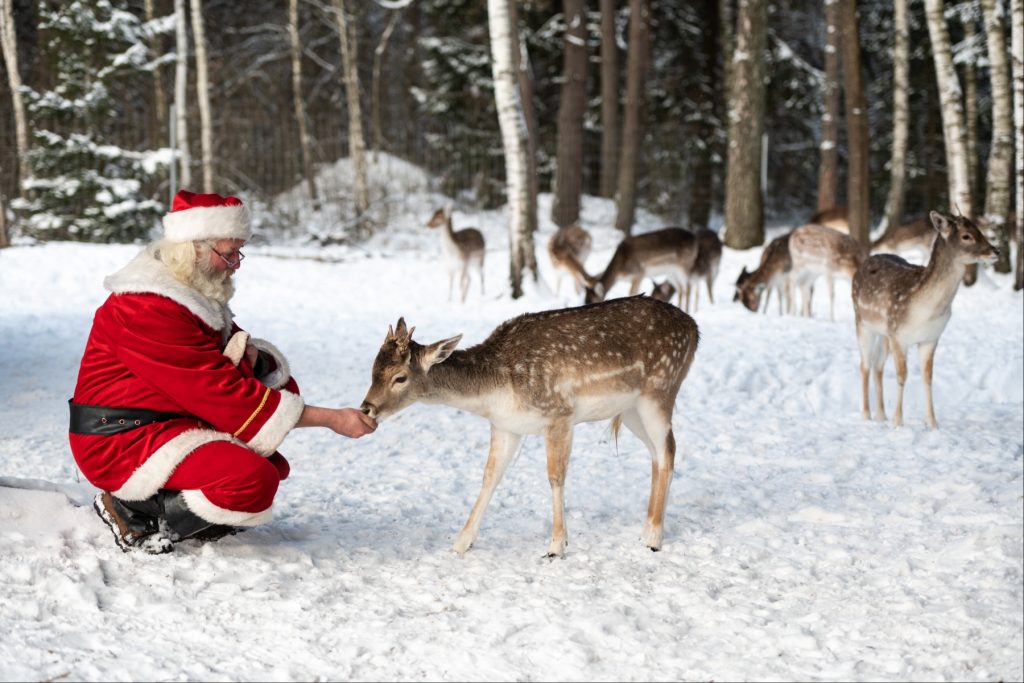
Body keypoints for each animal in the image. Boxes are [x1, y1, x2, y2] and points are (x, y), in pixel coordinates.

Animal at [356, 296, 700, 557]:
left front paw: (556, 546)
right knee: (656, 454)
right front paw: (461, 543)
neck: (495, 390)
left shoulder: (559, 413)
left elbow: (555, 478)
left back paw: (654, 538)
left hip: (659, 390)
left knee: (668, 450)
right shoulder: (506, 425)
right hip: (630, 410)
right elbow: (490, 477)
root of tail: (695, 329)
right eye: (372, 369)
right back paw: (645, 530)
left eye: (400, 377)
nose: (366, 408)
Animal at [851, 210, 995, 430]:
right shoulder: (899, 336)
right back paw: (867, 415)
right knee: (864, 364)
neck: (925, 311)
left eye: (979, 230)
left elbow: (927, 377)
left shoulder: (930, 338)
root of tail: (861, 266)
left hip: (884, 333)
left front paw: (932, 423)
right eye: (966, 236)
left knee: (877, 364)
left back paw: (881, 415)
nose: (995, 251)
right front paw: (898, 422)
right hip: (862, 322)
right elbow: (902, 375)